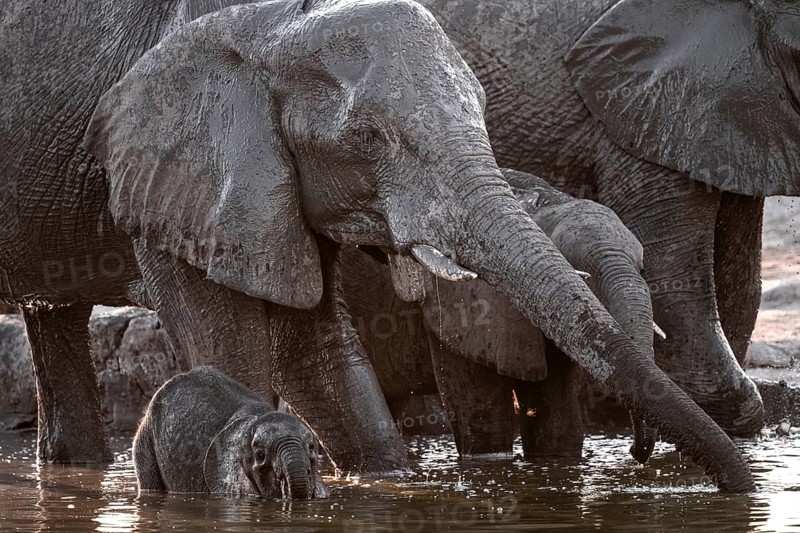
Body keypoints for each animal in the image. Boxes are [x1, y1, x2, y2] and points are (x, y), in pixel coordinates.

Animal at [344, 168, 657, 462]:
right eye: (581, 272)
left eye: (642, 267)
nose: (632, 451)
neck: (543, 205)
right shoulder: (458, 304)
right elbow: (485, 425)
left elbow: (556, 423)